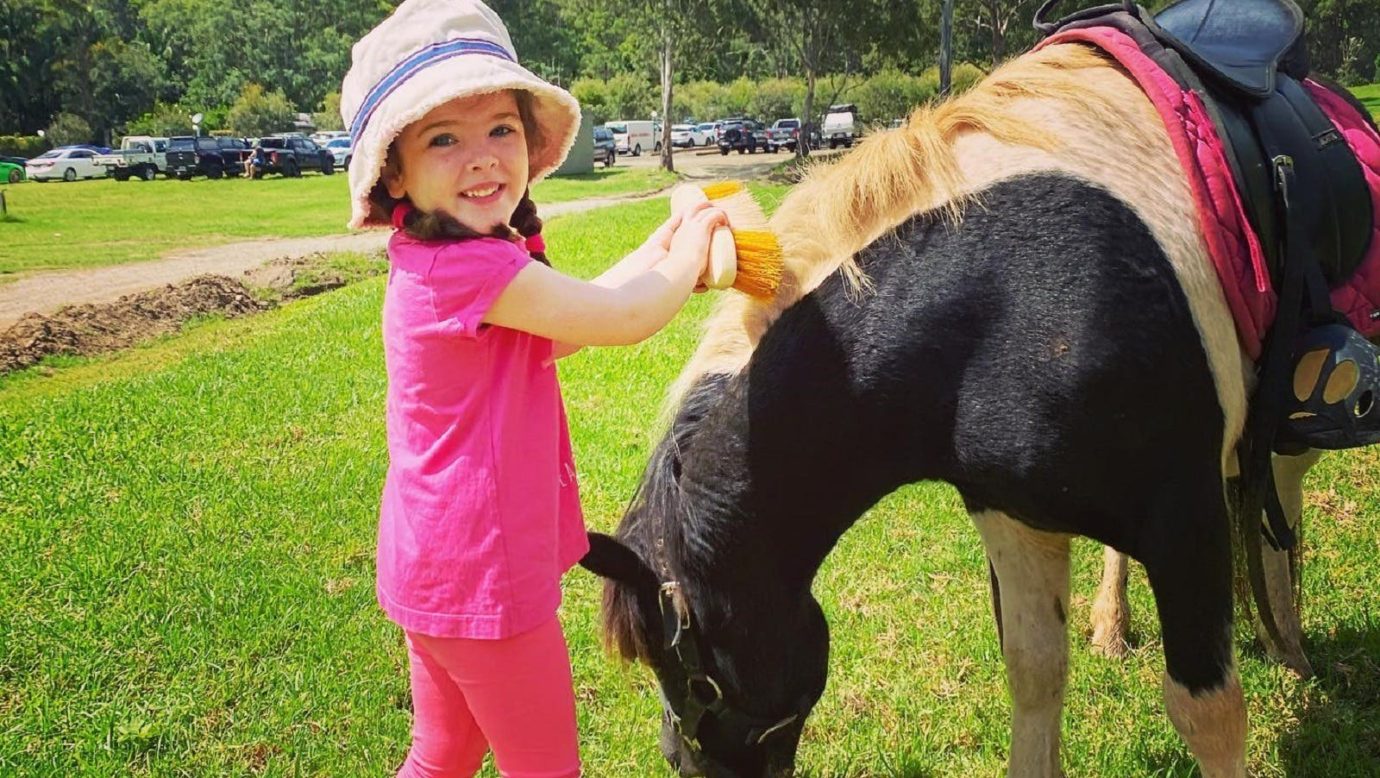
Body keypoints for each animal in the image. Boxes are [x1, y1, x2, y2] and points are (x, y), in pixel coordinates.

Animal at [581, 43, 1275, 777]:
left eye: (694, 678)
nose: (679, 759)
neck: (1010, 301)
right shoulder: (1012, 513)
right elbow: (1035, 670)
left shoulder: (1184, 520)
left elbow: (1209, 715)